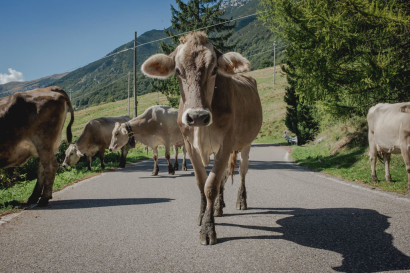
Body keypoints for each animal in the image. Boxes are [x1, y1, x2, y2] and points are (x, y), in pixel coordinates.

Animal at [141, 30, 262, 243]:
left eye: (214, 70)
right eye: (178, 71)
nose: (197, 116)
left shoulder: (226, 144)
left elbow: (211, 185)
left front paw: (208, 229)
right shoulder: (190, 146)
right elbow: (201, 182)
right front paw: (202, 215)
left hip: (246, 143)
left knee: (242, 172)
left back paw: (241, 200)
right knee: (224, 177)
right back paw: (218, 207)